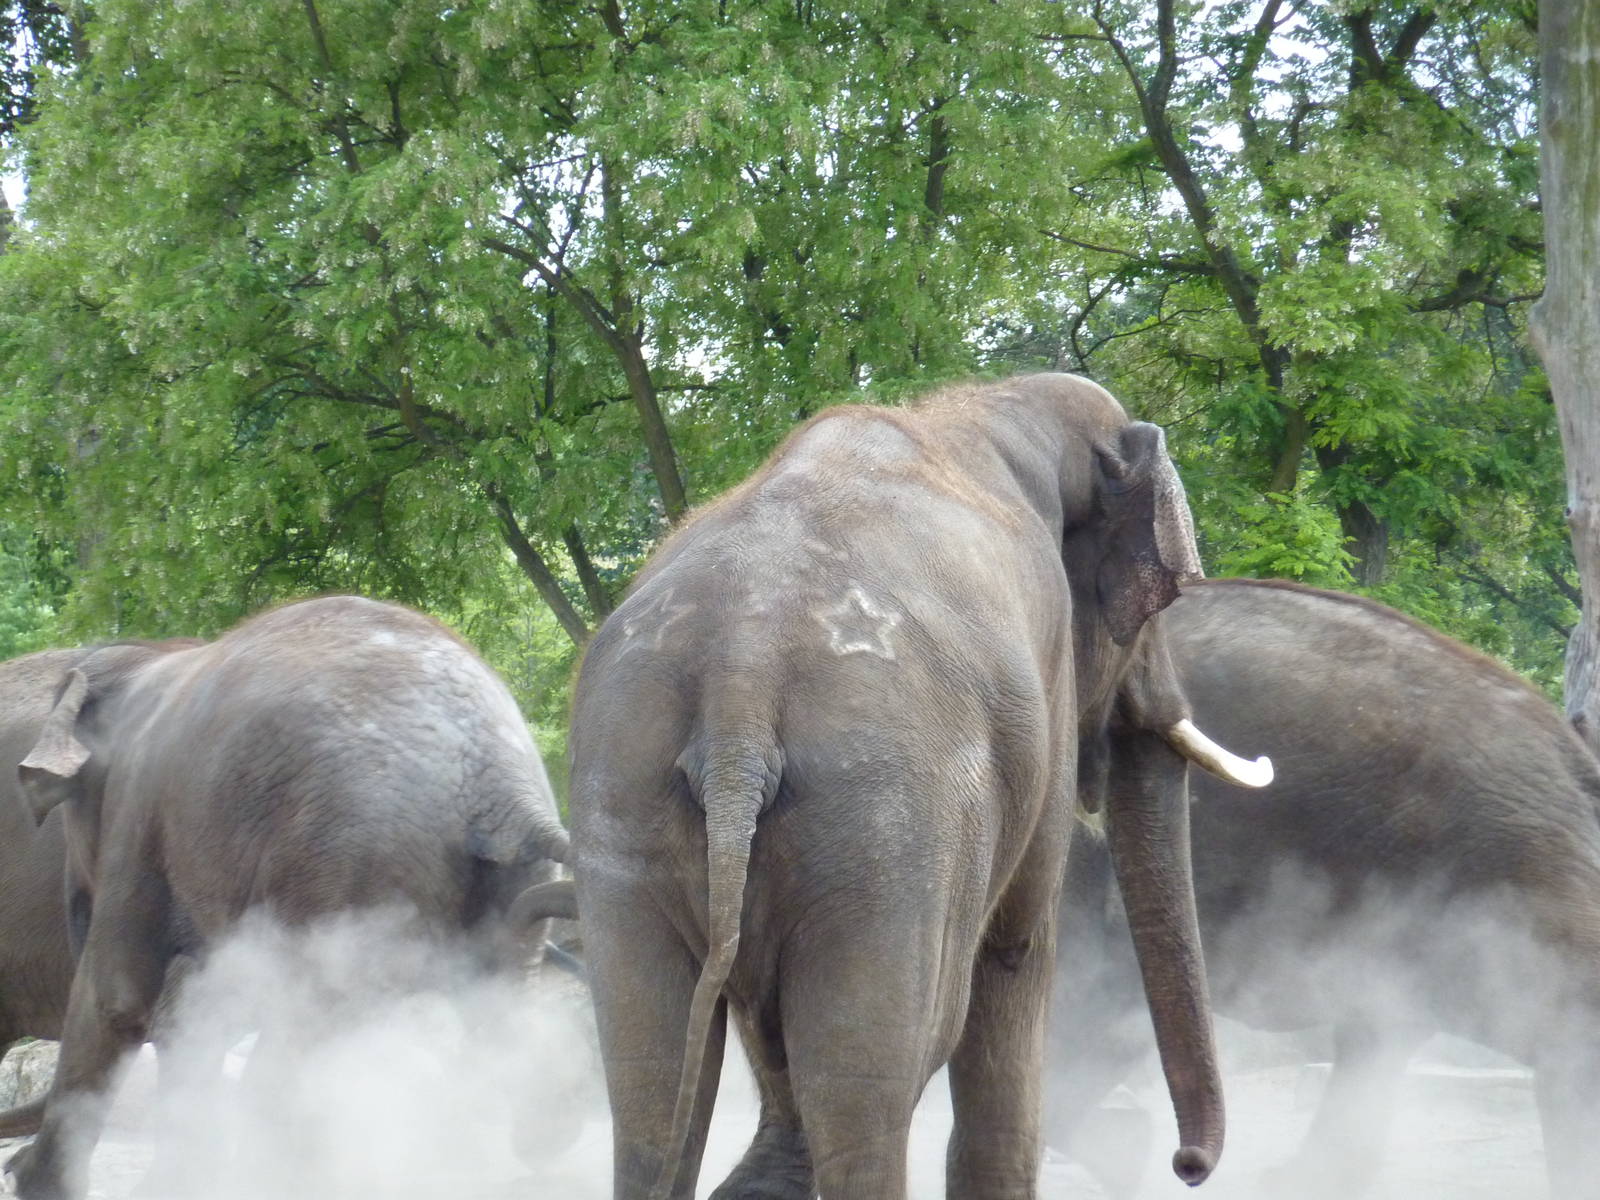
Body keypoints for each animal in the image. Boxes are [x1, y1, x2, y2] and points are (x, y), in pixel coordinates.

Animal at [2, 595, 576, 1200]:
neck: (149, 655)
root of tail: (499, 784)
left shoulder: (138, 816)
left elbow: (118, 1000)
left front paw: (33, 1180)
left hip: (344, 865)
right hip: (504, 879)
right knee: (495, 1009)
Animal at [568, 373, 1271, 1200]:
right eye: (1155, 604)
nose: (1185, 1165)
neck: (987, 407)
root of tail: (739, 680)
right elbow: (1016, 949)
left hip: (625, 795)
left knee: (650, 1087)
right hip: (888, 824)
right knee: (874, 1085)